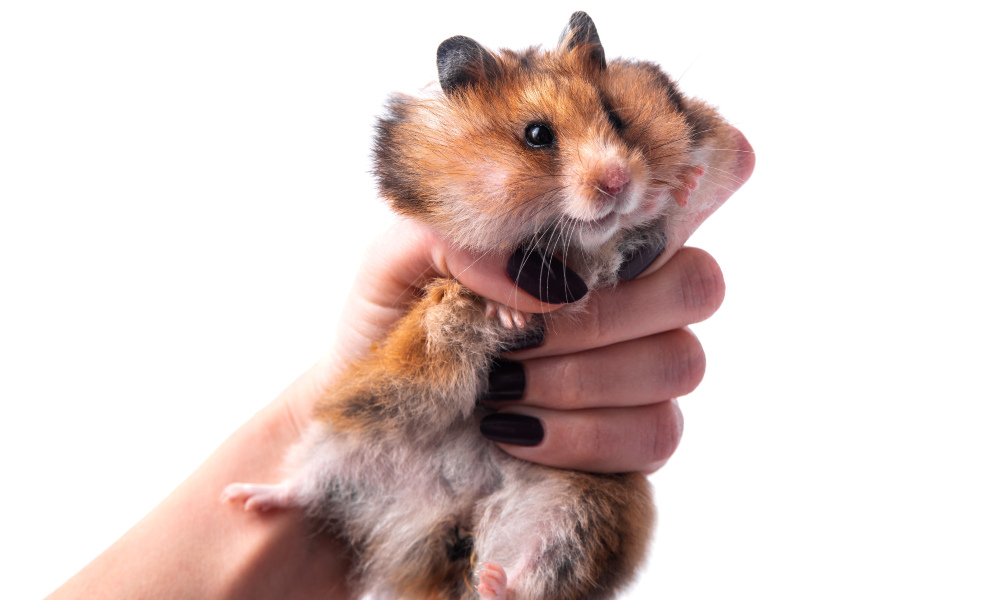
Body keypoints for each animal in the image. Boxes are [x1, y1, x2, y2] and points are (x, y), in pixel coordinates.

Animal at [223, 12, 743, 600]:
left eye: (617, 115)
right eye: (537, 135)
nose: (618, 181)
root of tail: (440, 522)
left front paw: (681, 184)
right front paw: (505, 313)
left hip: (581, 506)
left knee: (531, 574)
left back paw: (495, 580)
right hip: (351, 428)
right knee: (306, 486)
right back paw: (247, 497)